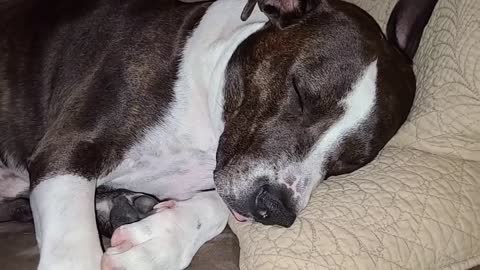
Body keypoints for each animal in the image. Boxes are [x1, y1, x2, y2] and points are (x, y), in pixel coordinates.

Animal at [0, 0, 436, 268]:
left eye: (351, 161)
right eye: (300, 92)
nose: (275, 209)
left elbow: (216, 208)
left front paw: (159, 242)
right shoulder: (67, 149)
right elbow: (73, 249)